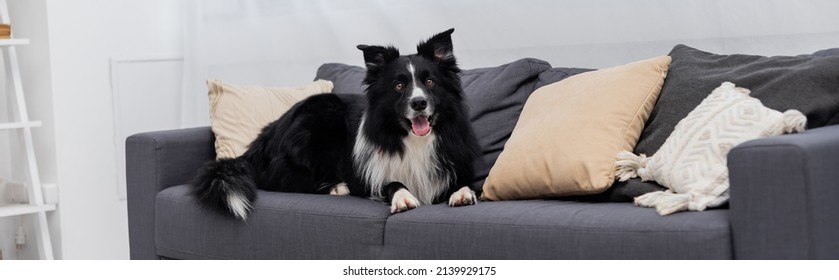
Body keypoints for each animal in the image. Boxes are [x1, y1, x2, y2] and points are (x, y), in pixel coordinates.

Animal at [191, 29, 480, 221]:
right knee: (282, 178)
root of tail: (266, 135)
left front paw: (462, 193)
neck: (412, 139)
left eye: (430, 82)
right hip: (320, 118)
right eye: (399, 86)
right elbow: (392, 183)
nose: (419, 103)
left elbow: (463, 183)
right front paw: (402, 197)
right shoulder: (369, 176)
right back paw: (337, 187)